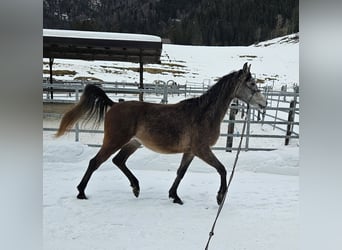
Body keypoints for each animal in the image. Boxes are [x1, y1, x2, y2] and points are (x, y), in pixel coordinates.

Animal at [55, 62, 268, 205]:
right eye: (252, 84)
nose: (264, 104)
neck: (203, 113)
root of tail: (114, 105)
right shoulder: (202, 149)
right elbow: (222, 169)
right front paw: (220, 197)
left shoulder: (190, 151)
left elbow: (181, 173)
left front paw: (175, 196)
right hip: (114, 141)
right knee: (95, 162)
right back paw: (81, 192)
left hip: (133, 143)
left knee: (118, 161)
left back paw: (136, 187)